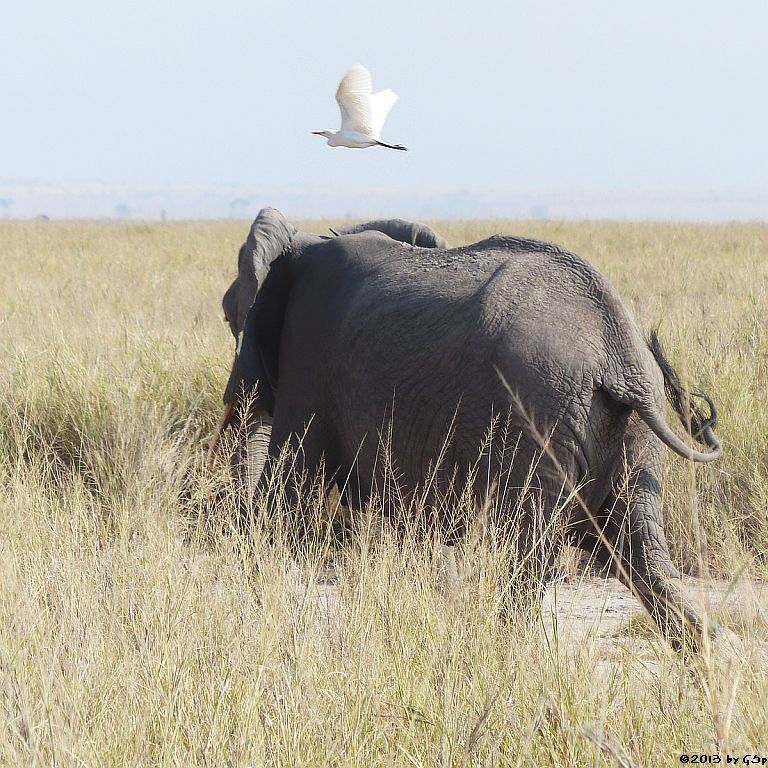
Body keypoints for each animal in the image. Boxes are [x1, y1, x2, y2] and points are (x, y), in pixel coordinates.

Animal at [213, 207, 724, 652]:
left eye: (228, 315)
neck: (307, 238)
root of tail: (620, 349)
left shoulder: (308, 358)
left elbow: (286, 488)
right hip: (624, 430)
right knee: (639, 551)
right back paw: (710, 658)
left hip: (539, 416)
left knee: (532, 555)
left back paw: (502, 654)